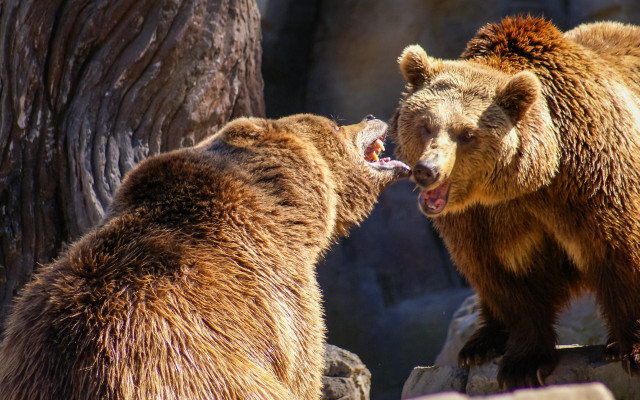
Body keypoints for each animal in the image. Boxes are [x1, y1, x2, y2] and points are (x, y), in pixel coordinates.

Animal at [391, 16, 640, 390]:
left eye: (467, 134)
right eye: (426, 124)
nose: (427, 170)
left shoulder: (590, 180)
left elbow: (618, 250)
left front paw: (632, 351)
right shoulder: (479, 220)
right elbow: (507, 281)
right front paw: (523, 364)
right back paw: (479, 343)